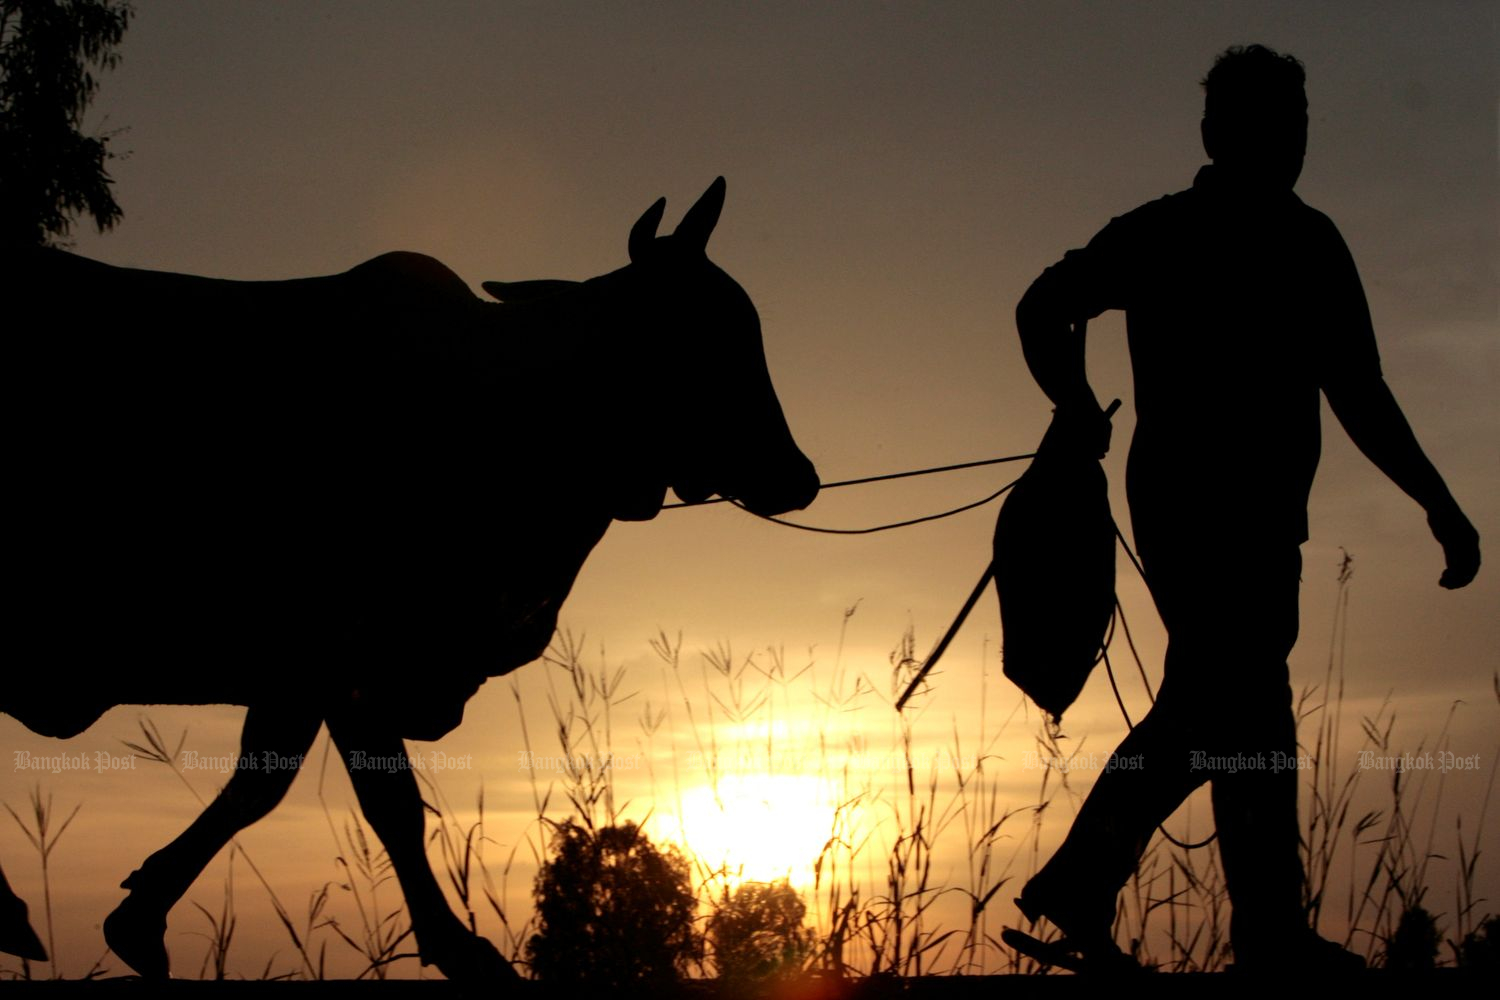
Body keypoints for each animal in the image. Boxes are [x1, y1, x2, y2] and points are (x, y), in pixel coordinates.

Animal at [0, 177, 822, 977]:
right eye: (701, 334)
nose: (799, 476)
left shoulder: (324, 671)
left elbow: (282, 786)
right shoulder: (339, 656)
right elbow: (367, 798)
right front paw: (462, 949)